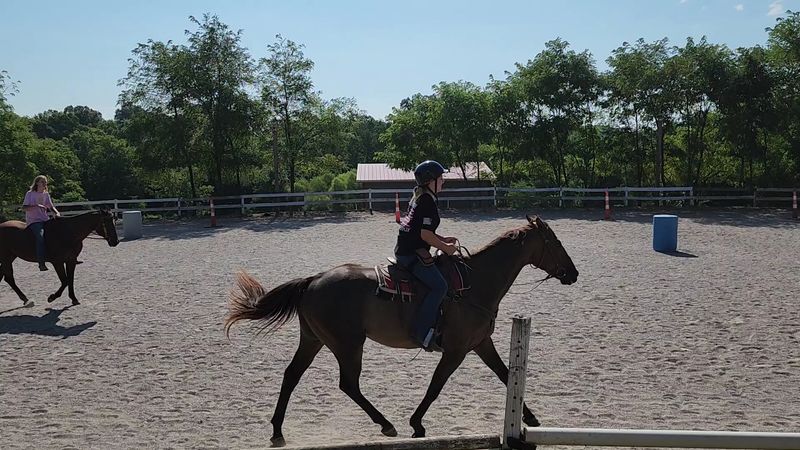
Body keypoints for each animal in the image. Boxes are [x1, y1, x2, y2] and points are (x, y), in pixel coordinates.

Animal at [225, 215, 579, 447]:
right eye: (556, 242)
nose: (573, 273)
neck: (475, 283)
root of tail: (313, 279)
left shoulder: (481, 343)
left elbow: (506, 375)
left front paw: (530, 419)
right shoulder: (456, 350)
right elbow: (436, 386)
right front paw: (416, 423)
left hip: (313, 341)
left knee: (292, 375)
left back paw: (277, 429)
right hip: (348, 345)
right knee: (348, 384)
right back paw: (386, 424)